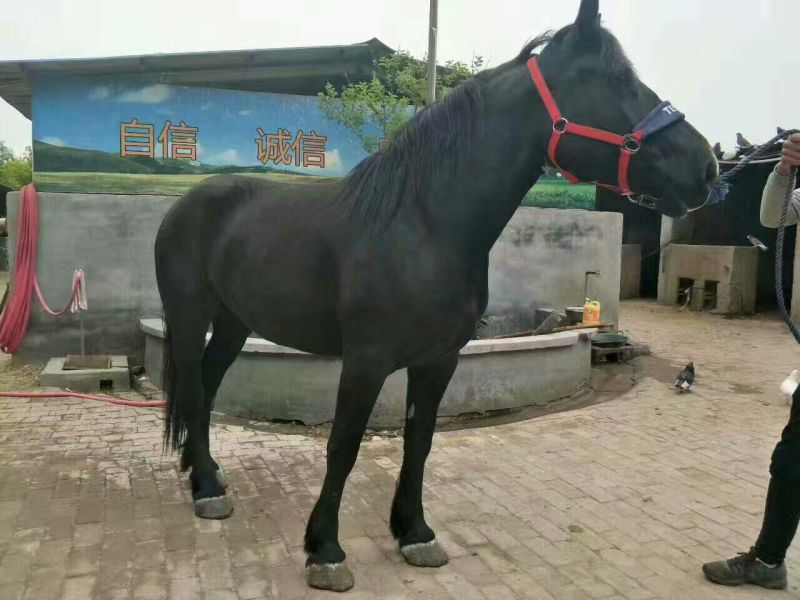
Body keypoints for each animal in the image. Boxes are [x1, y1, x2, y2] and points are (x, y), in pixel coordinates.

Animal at [154, 0, 718, 591]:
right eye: (619, 80)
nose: (706, 167)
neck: (421, 225)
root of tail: (187, 203)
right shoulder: (366, 361)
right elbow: (343, 446)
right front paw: (326, 549)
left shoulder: (439, 360)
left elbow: (419, 441)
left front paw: (414, 533)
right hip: (190, 317)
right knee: (192, 387)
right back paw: (206, 490)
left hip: (235, 322)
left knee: (206, 388)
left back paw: (206, 476)